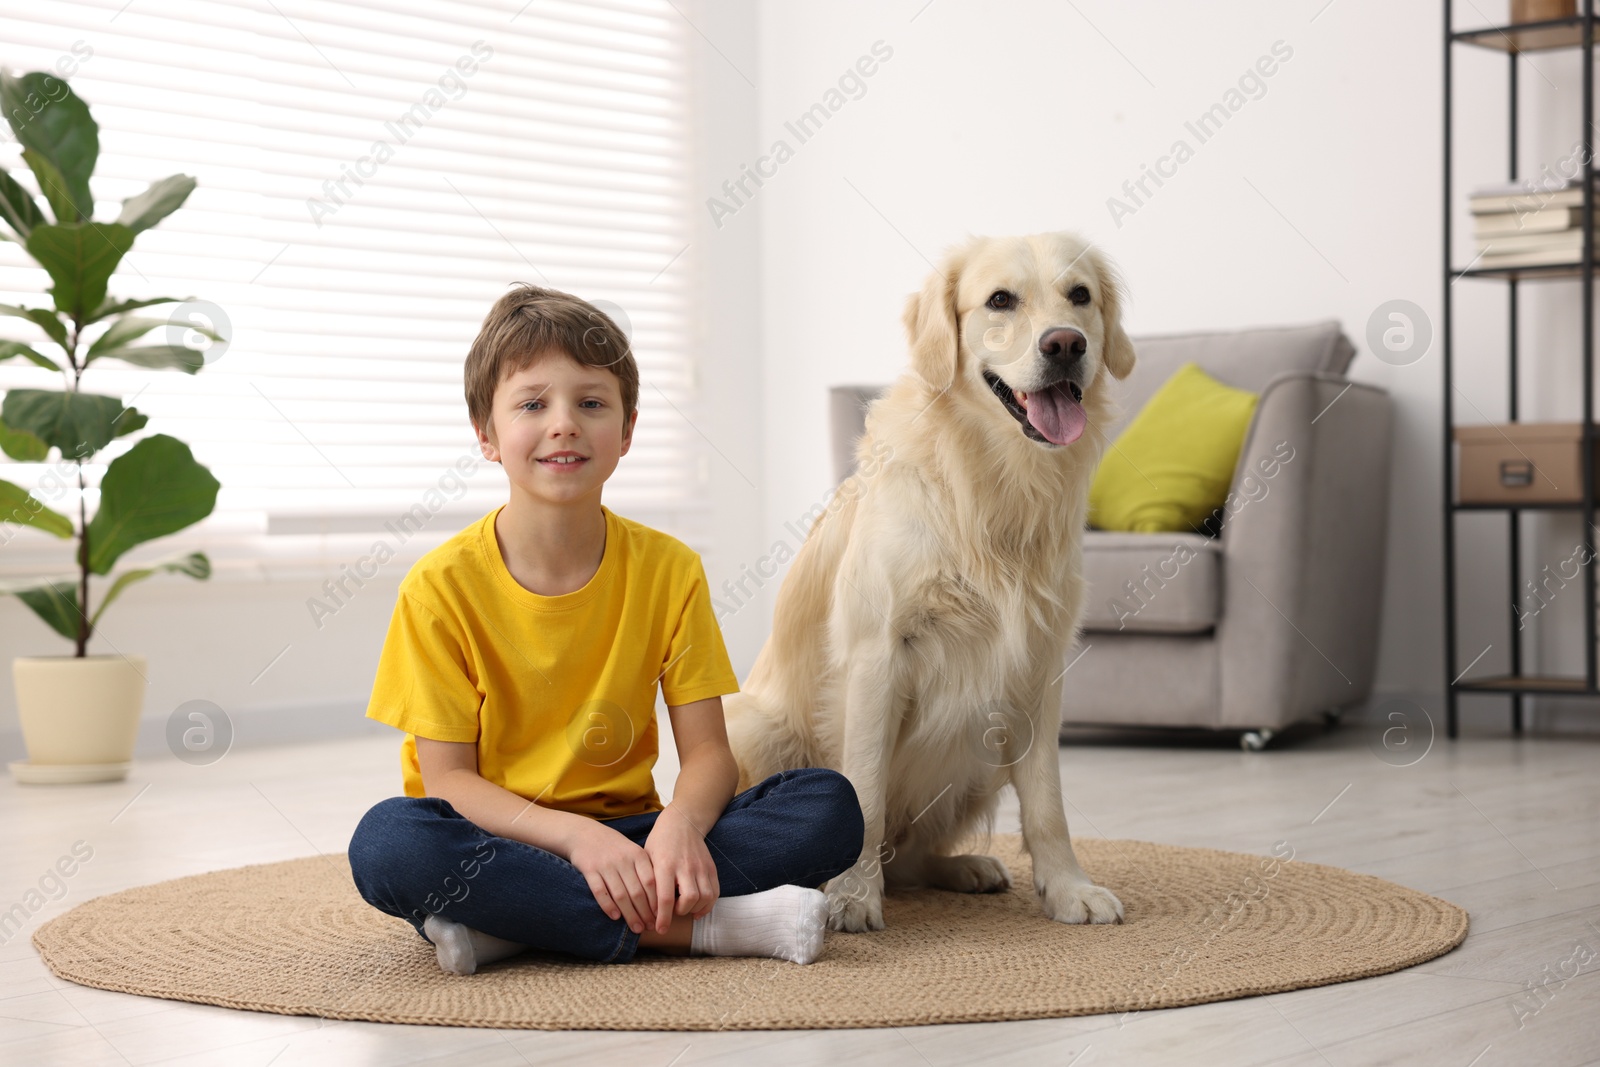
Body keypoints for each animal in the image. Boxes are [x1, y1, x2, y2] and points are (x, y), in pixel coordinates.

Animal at [726, 230, 1139, 927]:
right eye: (999, 300)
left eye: (1080, 296)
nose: (1065, 344)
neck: (994, 486)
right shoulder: (877, 657)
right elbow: (863, 793)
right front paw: (853, 896)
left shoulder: (1038, 666)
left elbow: (1048, 804)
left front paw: (1067, 888)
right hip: (752, 726)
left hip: (980, 746)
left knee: (913, 859)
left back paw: (965, 867)